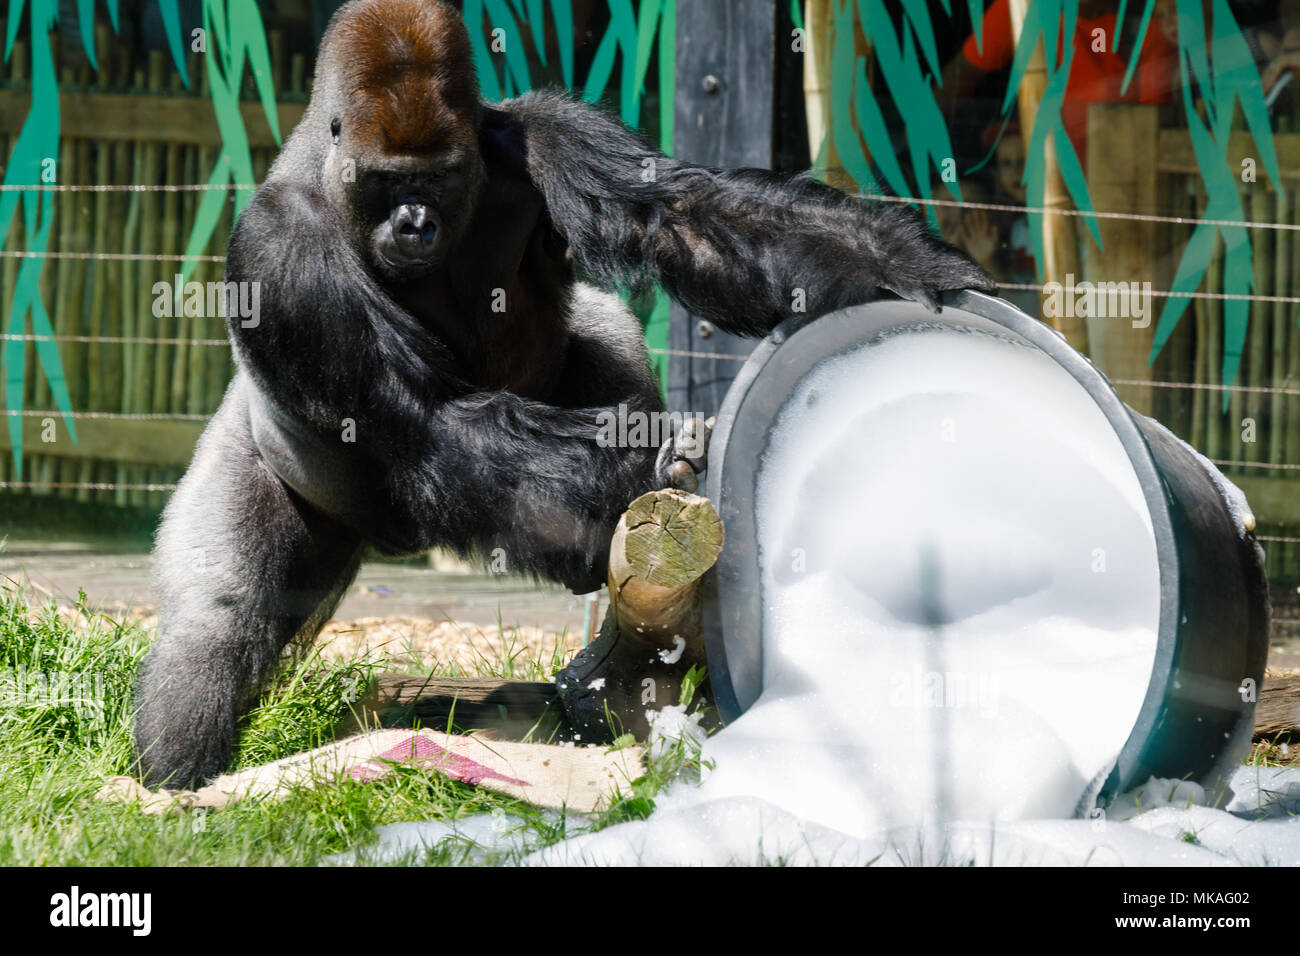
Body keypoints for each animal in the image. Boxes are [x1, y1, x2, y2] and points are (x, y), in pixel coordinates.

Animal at [134, 0, 993, 790]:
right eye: (389, 183)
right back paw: (175, 779)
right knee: (215, 625)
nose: (413, 224)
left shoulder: (545, 128)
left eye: (438, 178)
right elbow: (429, 422)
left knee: (603, 330)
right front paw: (654, 465)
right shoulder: (276, 248)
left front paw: (891, 258)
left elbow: (680, 211)